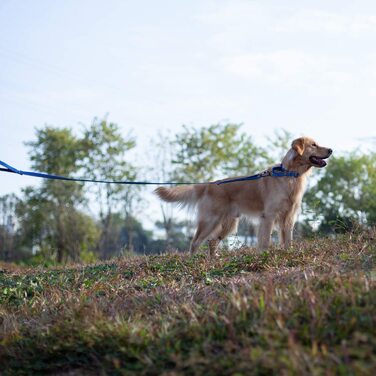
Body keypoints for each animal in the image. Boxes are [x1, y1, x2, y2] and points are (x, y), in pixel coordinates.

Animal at [155, 138, 332, 256]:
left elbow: (288, 240)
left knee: (212, 241)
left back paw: (213, 261)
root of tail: (209, 184)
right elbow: (265, 241)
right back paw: (193, 262)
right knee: (195, 242)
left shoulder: (289, 217)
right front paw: (263, 257)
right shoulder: (269, 216)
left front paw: (289, 254)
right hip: (210, 220)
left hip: (229, 223)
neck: (290, 175)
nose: (331, 150)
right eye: (313, 145)